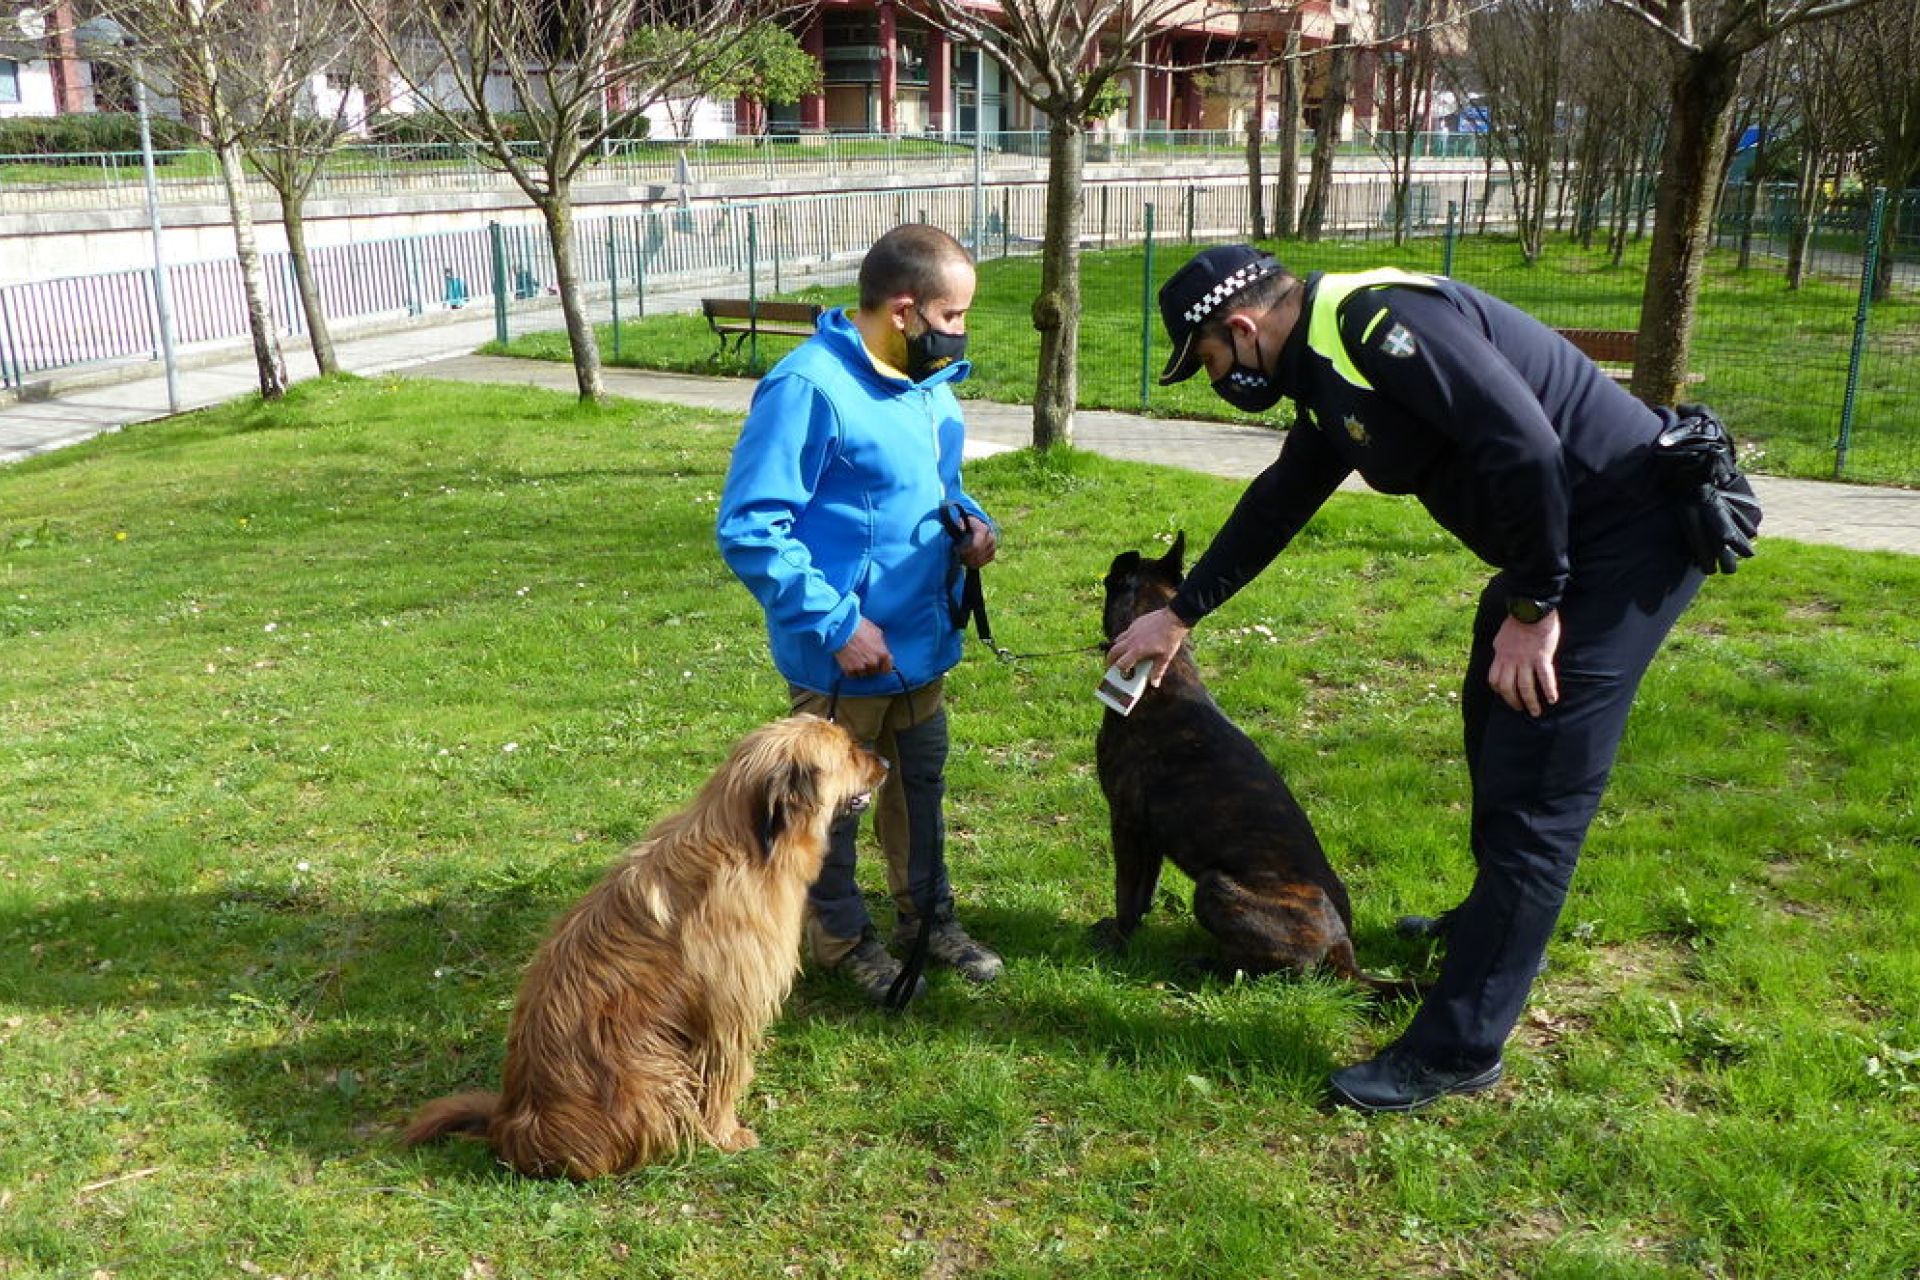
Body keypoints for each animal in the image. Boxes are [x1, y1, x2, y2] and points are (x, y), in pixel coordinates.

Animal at [408, 717, 887, 1174]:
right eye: (849, 751)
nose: (884, 761)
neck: (748, 846)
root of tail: (510, 1127)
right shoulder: (725, 1017)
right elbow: (724, 1080)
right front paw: (729, 1136)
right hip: (652, 1071)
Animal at [1098, 537, 1413, 997]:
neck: (1164, 675)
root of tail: (1342, 950)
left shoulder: (1126, 823)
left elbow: (1126, 892)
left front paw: (1115, 941)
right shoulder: (1150, 836)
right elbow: (1143, 894)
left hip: (1214, 886)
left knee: (1273, 972)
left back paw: (1203, 965)